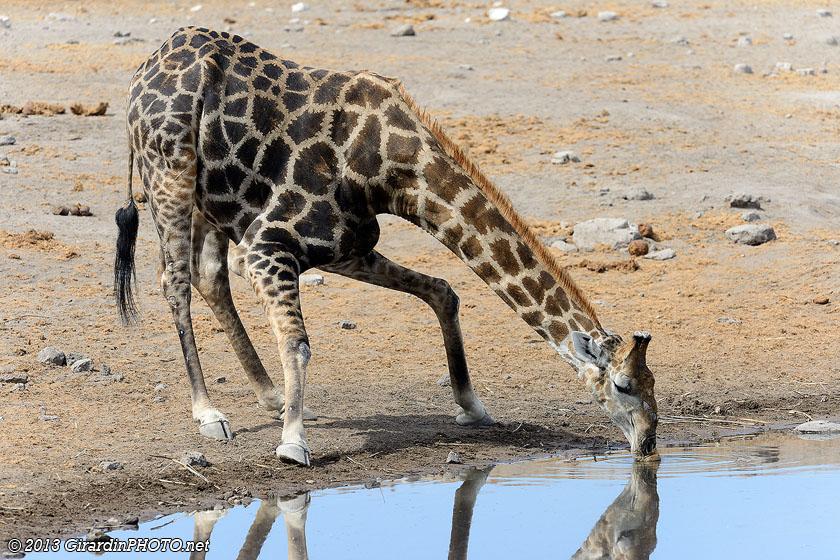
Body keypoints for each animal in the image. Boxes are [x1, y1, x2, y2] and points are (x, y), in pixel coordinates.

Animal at [116, 26, 659, 467]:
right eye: (623, 385)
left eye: (654, 383)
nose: (650, 443)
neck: (390, 167)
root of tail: (144, 69)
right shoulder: (267, 245)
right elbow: (297, 342)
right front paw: (293, 444)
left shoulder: (346, 247)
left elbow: (443, 292)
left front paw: (473, 407)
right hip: (169, 176)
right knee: (174, 280)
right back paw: (209, 413)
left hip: (211, 200)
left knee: (207, 274)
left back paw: (271, 397)